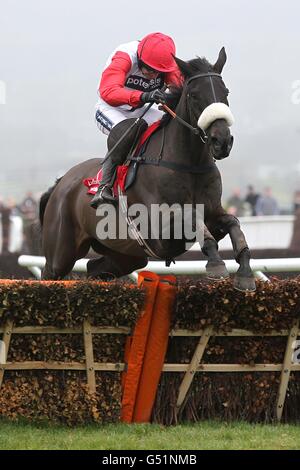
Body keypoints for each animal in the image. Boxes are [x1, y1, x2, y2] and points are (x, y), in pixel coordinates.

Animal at [39, 46, 255, 290]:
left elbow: (233, 223)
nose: (222, 141)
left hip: (126, 254)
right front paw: (216, 265)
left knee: (95, 268)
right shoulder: (160, 232)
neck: (189, 164)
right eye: (194, 95)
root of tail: (61, 184)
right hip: (60, 253)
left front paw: (245, 272)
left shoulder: (212, 213)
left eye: (225, 92)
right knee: (49, 272)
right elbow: (191, 216)